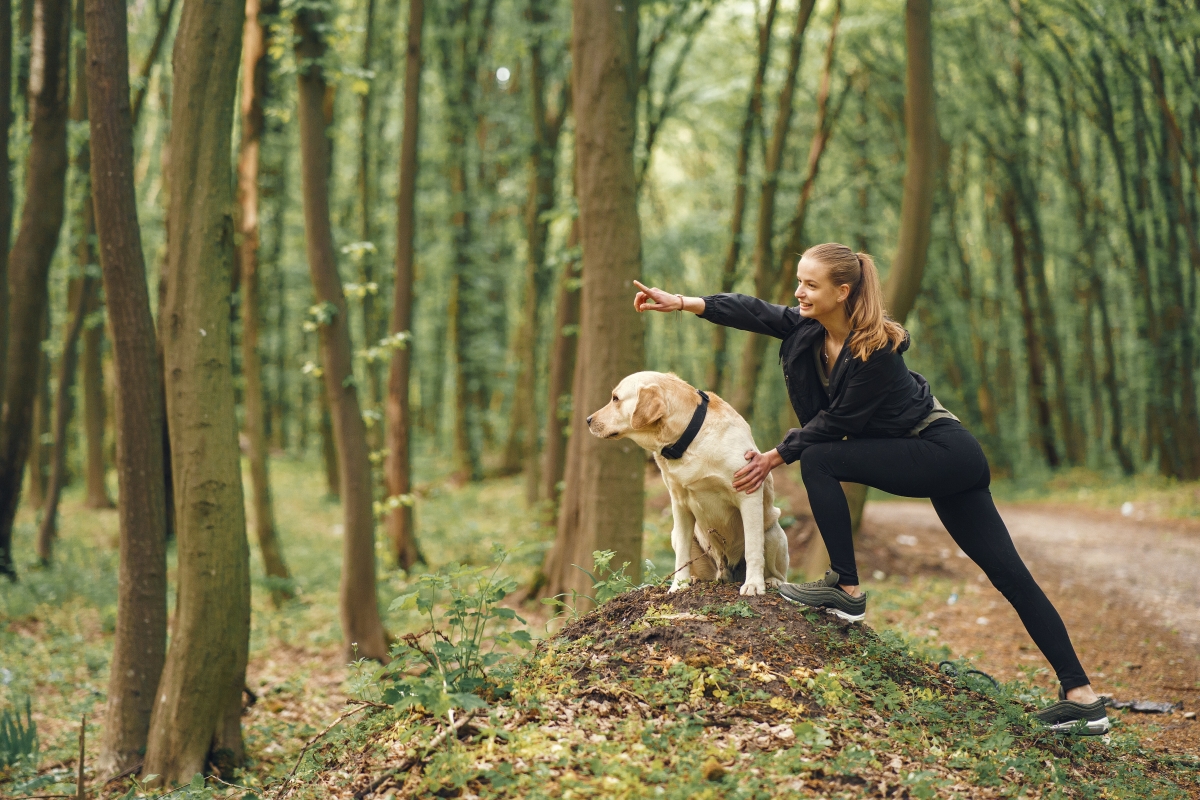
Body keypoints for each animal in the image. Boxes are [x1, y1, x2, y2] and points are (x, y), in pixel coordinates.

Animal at [588, 371, 792, 594]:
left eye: (615, 399)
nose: (588, 420)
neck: (688, 438)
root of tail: (727, 573)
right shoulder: (680, 504)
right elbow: (682, 555)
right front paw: (679, 585)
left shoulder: (748, 493)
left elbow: (754, 548)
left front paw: (754, 585)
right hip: (677, 537)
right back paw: (695, 579)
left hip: (774, 534)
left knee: (777, 570)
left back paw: (772, 581)